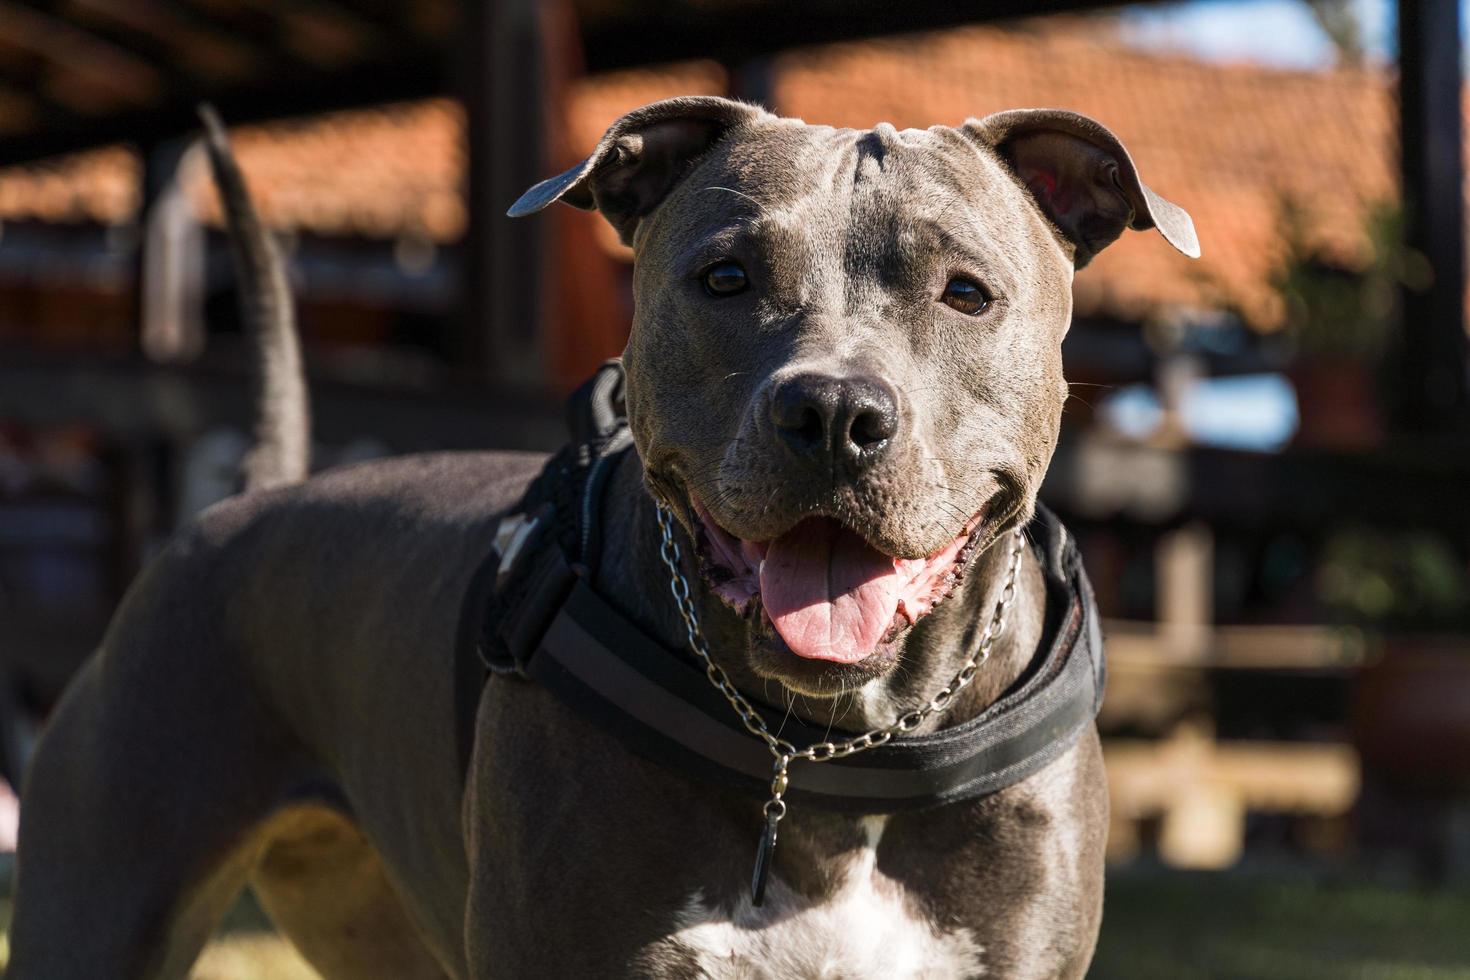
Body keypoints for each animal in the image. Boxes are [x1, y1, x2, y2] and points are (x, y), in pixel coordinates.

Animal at [8, 94, 1193, 980]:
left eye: (966, 293)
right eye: (726, 277)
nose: (833, 414)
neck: (825, 752)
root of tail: (242, 503)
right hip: (103, 895)